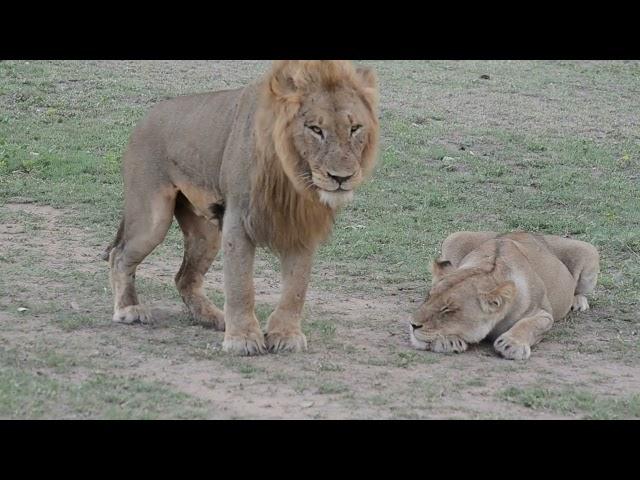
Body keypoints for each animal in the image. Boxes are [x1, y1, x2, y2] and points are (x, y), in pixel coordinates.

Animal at [102, 60, 378, 354]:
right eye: (315, 129)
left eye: (355, 128)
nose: (341, 177)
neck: (291, 175)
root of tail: (147, 116)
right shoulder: (238, 219)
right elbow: (240, 283)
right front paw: (242, 338)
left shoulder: (300, 224)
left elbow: (297, 286)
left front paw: (286, 334)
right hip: (153, 218)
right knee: (120, 255)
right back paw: (129, 309)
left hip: (206, 234)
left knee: (185, 277)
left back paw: (212, 317)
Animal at [410, 232, 600, 360]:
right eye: (428, 297)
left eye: (448, 310)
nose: (413, 325)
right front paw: (448, 341)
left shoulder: (544, 313)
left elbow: (530, 324)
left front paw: (512, 344)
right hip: (454, 237)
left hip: (589, 250)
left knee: (579, 289)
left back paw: (578, 302)